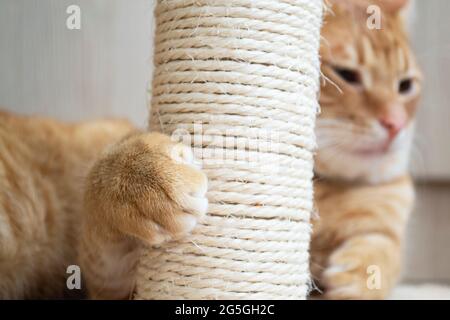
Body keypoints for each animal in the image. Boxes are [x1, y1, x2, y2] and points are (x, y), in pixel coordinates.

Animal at [312, 0, 422, 298]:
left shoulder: (388, 226)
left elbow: (385, 248)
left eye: (405, 85)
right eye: (346, 74)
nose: (396, 123)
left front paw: (358, 278)